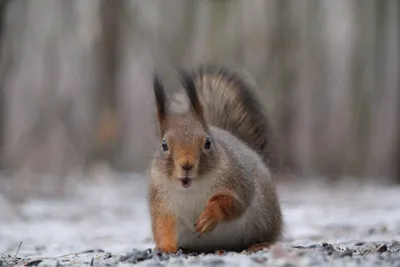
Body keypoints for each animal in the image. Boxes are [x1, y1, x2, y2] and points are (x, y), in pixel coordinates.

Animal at [148, 66, 282, 254]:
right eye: (164, 145)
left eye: (207, 142)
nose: (187, 165)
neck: (191, 188)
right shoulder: (161, 200)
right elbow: (163, 226)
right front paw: (165, 248)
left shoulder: (237, 182)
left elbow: (233, 203)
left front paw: (210, 215)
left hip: (265, 216)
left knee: (271, 235)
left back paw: (262, 244)